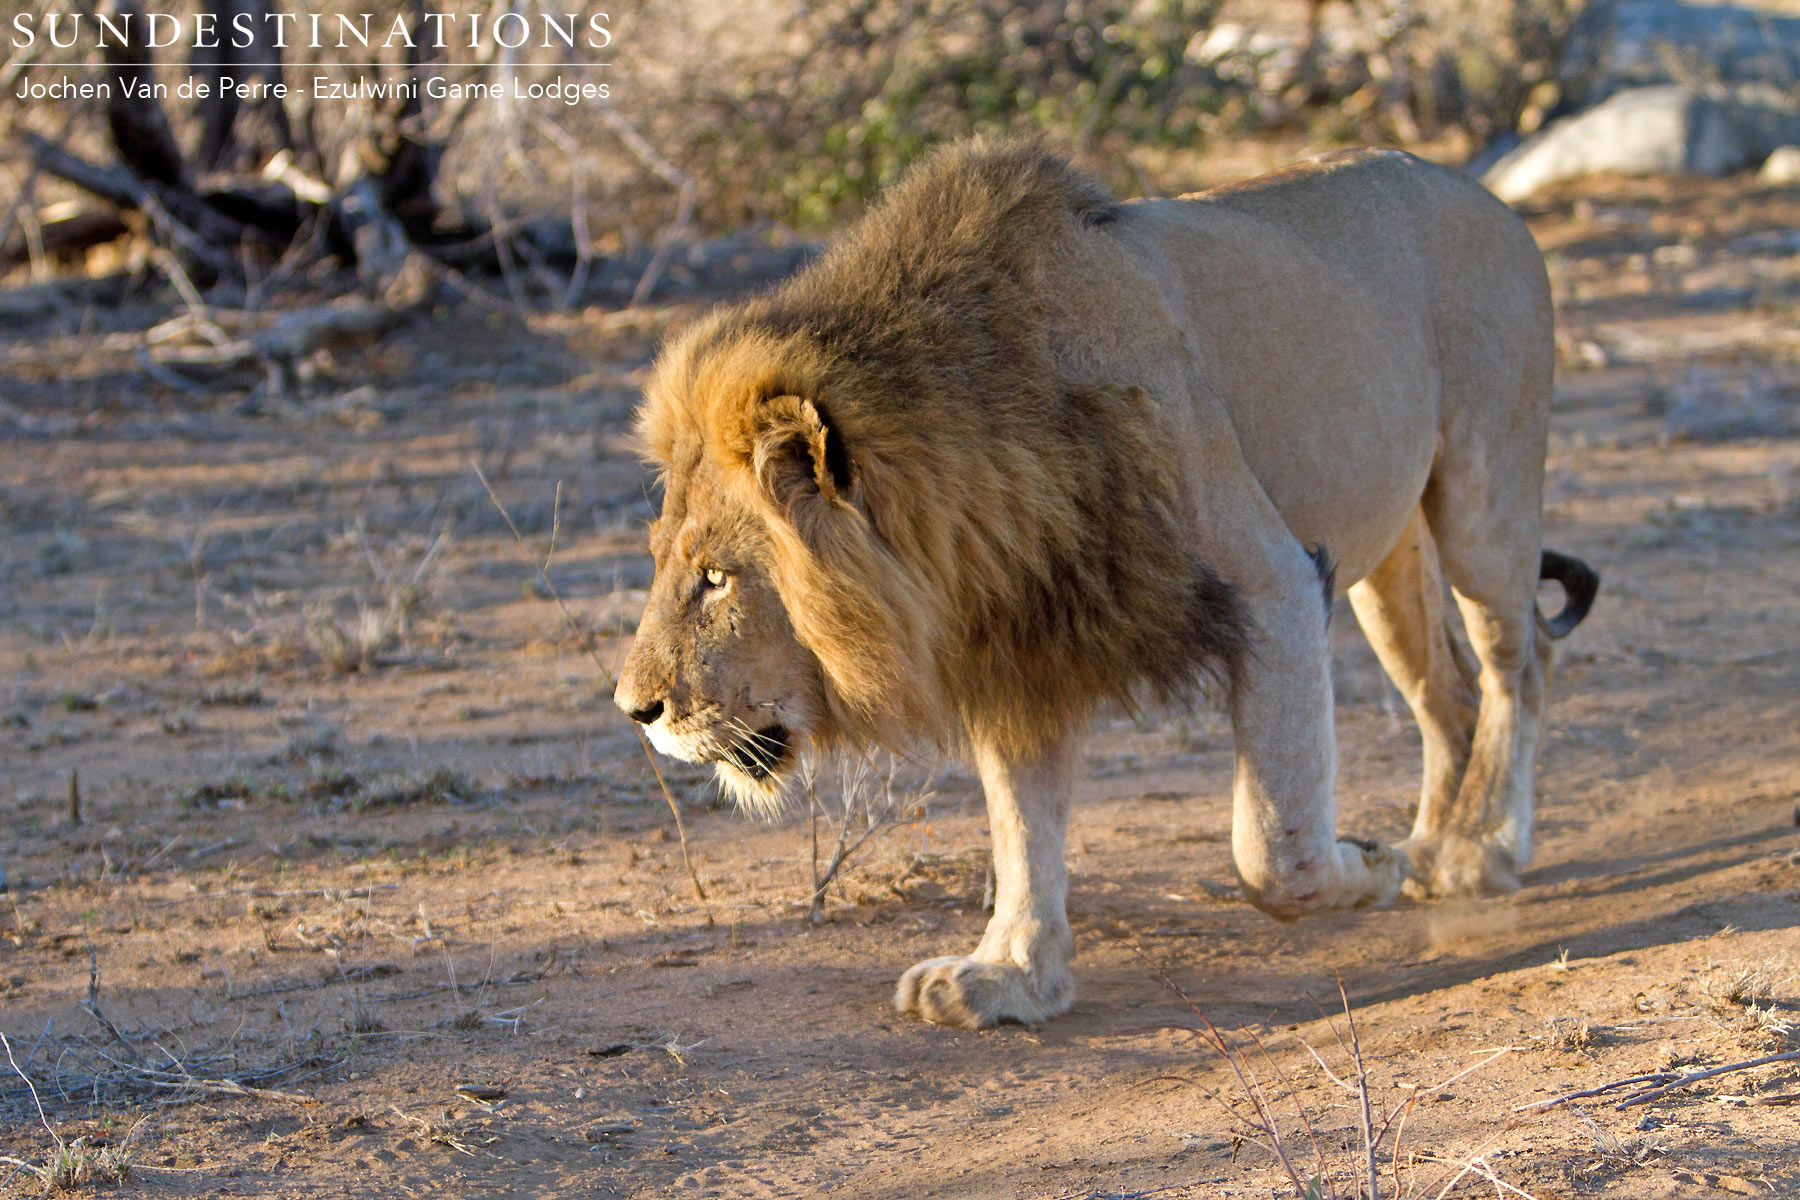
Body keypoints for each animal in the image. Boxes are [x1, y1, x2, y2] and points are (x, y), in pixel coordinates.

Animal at [614, 139, 1598, 1029]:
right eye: (664, 561)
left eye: (716, 578)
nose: (634, 709)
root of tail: (1486, 195)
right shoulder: (1021, 636)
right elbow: (1024, 827)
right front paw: (1010, 977)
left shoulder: (1274, 582)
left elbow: (1270, 852)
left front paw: (1366, 863)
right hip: (1386, 558)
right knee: (1449, 693)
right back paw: (1437, 843)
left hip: (1482, 497)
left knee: (1520, 665)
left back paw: (1479, 851)